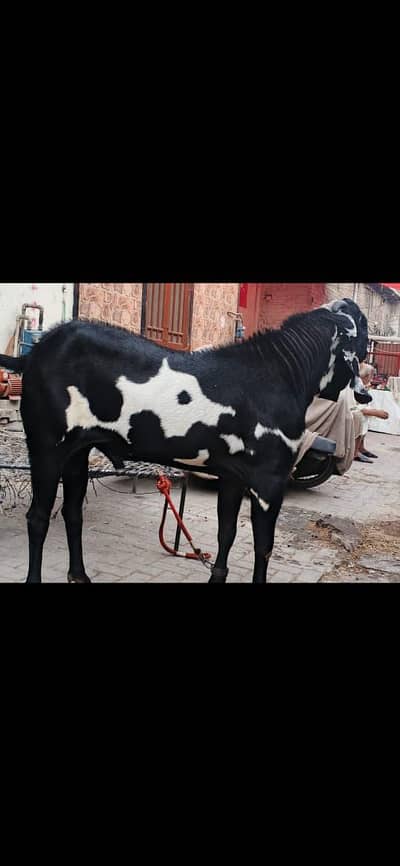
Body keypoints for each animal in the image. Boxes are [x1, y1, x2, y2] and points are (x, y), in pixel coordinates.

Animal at [0, 298, 371, 584]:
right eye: (364, 331)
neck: (279, 374)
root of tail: (34, 353)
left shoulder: (234, 478)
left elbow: (227, 534)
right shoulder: (269, 483)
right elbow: (263, 546)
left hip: (77, 452)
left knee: (72, 514)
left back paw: (79, 575)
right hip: (46, 449)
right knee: (37, 518)